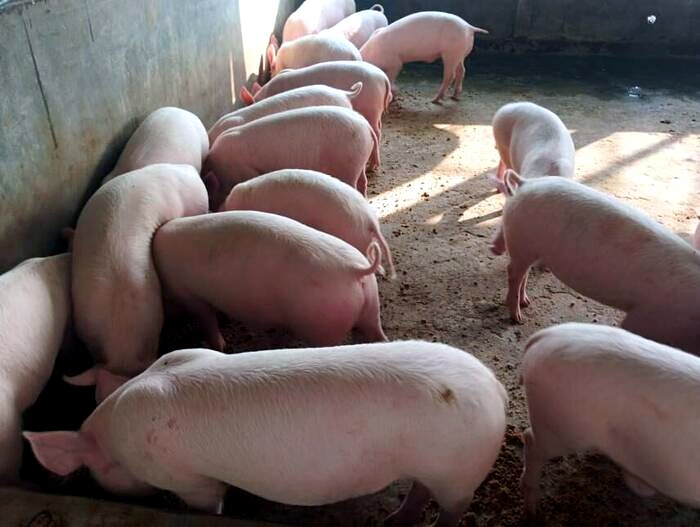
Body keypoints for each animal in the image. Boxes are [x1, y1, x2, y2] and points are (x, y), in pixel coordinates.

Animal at [24, 339, 507, 526]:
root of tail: (496, 388)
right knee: (419, 491)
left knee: (452, 507)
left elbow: (206, 503)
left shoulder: (188, 480)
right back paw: (393, 521)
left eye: (95, 471)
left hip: (458, 471)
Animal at [152, 211, 387, 349]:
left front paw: (217, 346)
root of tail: (354, 270)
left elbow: (207, 318)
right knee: (375, 332)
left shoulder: (189, 294)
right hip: (371, 304)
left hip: (324, 323)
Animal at [360, 11, 488, 103]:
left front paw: (394, 94)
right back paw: (455, 96)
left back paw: (435, 99)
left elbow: (390, 77)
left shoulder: (395, 63)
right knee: (461, 71)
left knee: (450, 75)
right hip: (460, 53)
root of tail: (469, 27)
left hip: (451, 52)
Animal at [491, 172, 700, 355]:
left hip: (527, 247)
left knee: (522, 273)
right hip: (521, 241)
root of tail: (526, 184)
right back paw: (518, 319)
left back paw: (526, 302)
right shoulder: (647, 318)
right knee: (513, 273)